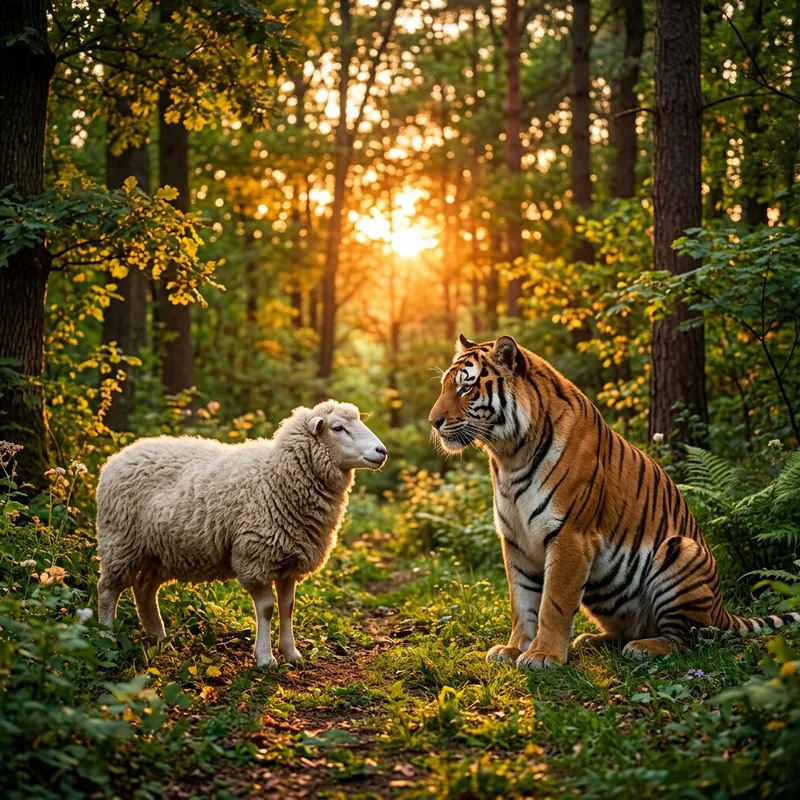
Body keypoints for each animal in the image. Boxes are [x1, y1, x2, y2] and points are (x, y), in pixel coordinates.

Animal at [95, 400, 387, 666]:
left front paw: (291, 654)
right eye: (338, 428)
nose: (381, 451)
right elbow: (267, 609)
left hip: (159, 551)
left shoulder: (290, 560)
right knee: (108, 590)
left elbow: (288, 607)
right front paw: (265, 658)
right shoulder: (255, 558)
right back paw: (107, 639)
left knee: (144, 589)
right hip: (120, 541)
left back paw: (158, 638)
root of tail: (118, 456)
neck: (276, 476)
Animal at [428, 334, 800, 669]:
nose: (434, 421)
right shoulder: (516, 541)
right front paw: (514, 648)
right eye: (445, 386)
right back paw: (591, 639)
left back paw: (645, 647)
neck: (509, 456)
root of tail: (723, 610)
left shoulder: (570, 536)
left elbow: (553, 603)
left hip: (681, 550)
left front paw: (542, 655)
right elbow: (522, 602)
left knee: (687, 639)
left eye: (466, 388)